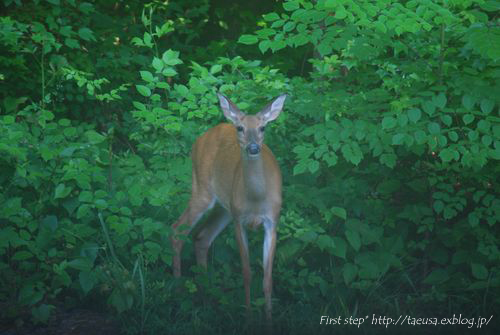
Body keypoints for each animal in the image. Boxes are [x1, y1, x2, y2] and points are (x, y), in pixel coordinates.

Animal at [170, 92, 288, 322]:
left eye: (262, 127)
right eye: (240, 128)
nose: (253, 148)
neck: (257, 200)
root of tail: (201, 138)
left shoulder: (272, 222)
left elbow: (267, 278)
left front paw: (269, 319)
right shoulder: (239, 221)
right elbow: (246, 273)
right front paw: (249, 318)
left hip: (224, 208)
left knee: (202, 236)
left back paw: (206, 296)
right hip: (203, 190)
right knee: (177, 230)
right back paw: (178, 293)